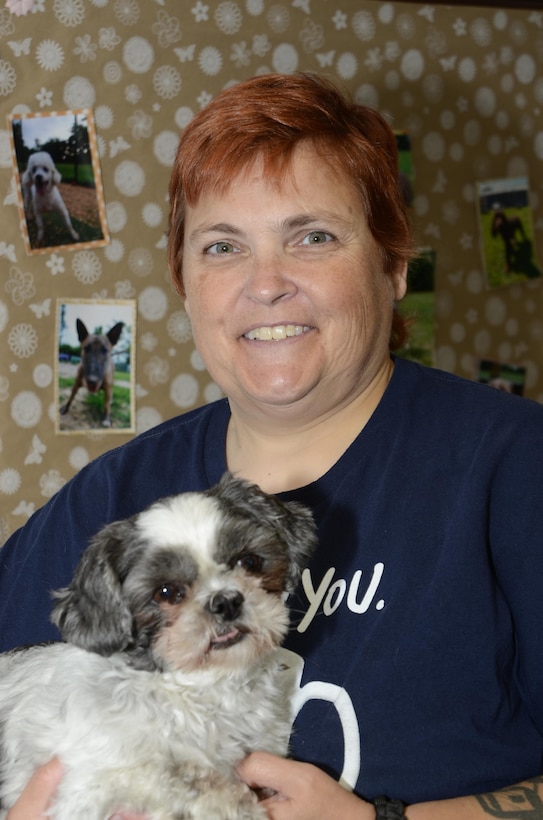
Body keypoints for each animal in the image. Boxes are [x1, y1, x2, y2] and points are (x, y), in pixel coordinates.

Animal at [0, 470, 318, 816]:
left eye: (248, 562)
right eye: (166, 592)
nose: (226, 602)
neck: (204, 690)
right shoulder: (88, 787)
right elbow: (178, 778)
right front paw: (234, 804)